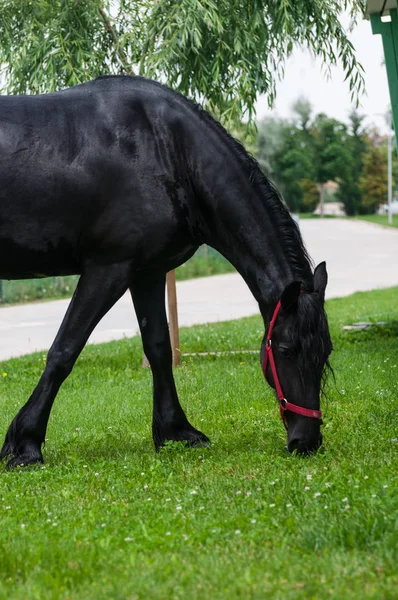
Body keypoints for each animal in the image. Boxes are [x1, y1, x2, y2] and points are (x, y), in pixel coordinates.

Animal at [0, 76, 332, 468]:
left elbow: (158, 347)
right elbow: (64, 350)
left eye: (325, 351)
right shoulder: (108, 269)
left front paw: (176, 431)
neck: (168, 149)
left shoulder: (148, 272)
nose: (306, 440)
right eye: (284, 349)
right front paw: (25, 443)